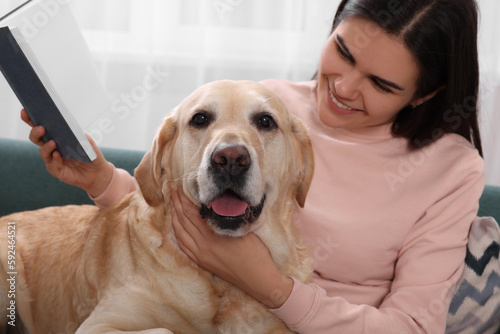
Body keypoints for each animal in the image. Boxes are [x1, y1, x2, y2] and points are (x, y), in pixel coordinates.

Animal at [0, 79, 312, 332]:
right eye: (200, 119)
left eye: (266, 121)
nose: (231, 159)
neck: (217, 282)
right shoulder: (100, 325)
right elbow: (166, 329)